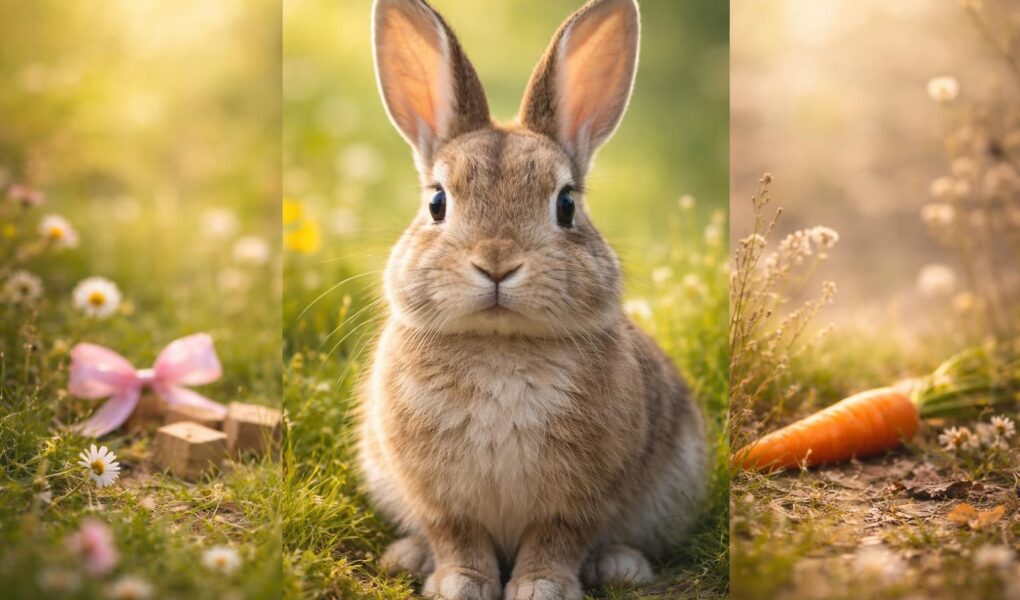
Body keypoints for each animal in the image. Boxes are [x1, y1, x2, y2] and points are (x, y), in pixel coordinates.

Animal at [357, 0, 707, 598]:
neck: (501, 346)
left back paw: (620, 566)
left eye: (565, 205)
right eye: (436, 202)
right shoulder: (439, 497)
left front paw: (542, 588)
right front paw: (461, 585)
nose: (497, 262)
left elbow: (557, 539)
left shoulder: (579, 498)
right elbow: (457, 536)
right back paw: (408, 558)